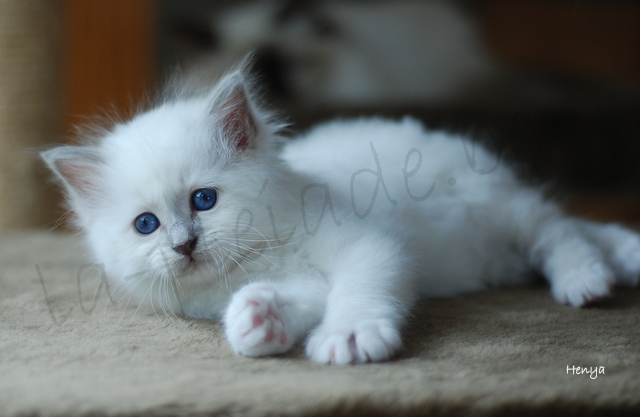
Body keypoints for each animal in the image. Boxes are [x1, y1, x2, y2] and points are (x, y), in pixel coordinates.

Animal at [42, 64, 640, 364]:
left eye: (203, 200)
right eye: (146, 225)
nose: (183, 244)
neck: (264, 252)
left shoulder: (367, 245)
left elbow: (356, 292)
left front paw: (348, 337)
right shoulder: (298, 280)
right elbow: (301, 300)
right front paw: (258, 320)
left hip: (499, 206)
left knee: (559, 230)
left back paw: (588, 279)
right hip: (496, 253)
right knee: (569, 230)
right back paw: (622, 259)